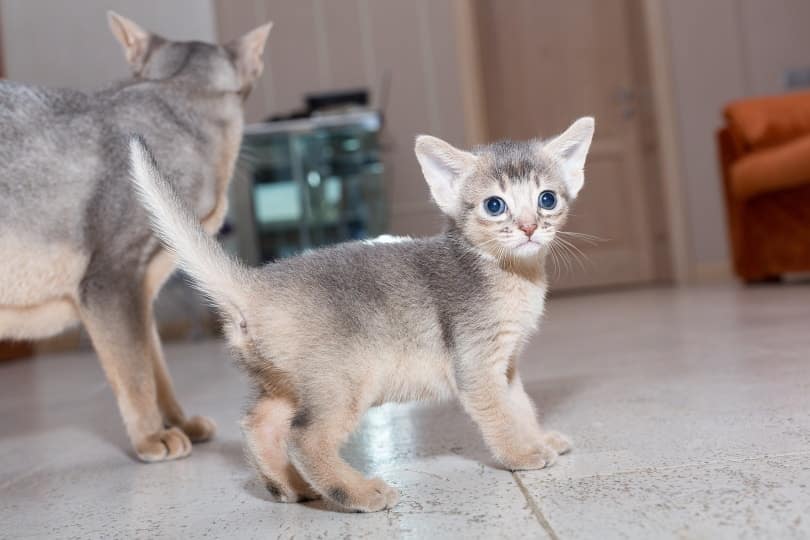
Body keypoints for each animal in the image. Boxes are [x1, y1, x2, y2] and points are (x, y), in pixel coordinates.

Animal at [128, 116, 592, 512]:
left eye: (547, 199)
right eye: (495, 206)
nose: (529, 228)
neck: (509, 274)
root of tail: (255, 283)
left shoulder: (506, 365)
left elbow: (521, 405)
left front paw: (540, 438)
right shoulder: (476, 366)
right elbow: (499, 414)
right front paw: (521, 454)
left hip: (288, 383)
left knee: (258, 424)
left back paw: (289, 485)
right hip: (344, 381)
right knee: (304, 437)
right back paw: (357, 492)